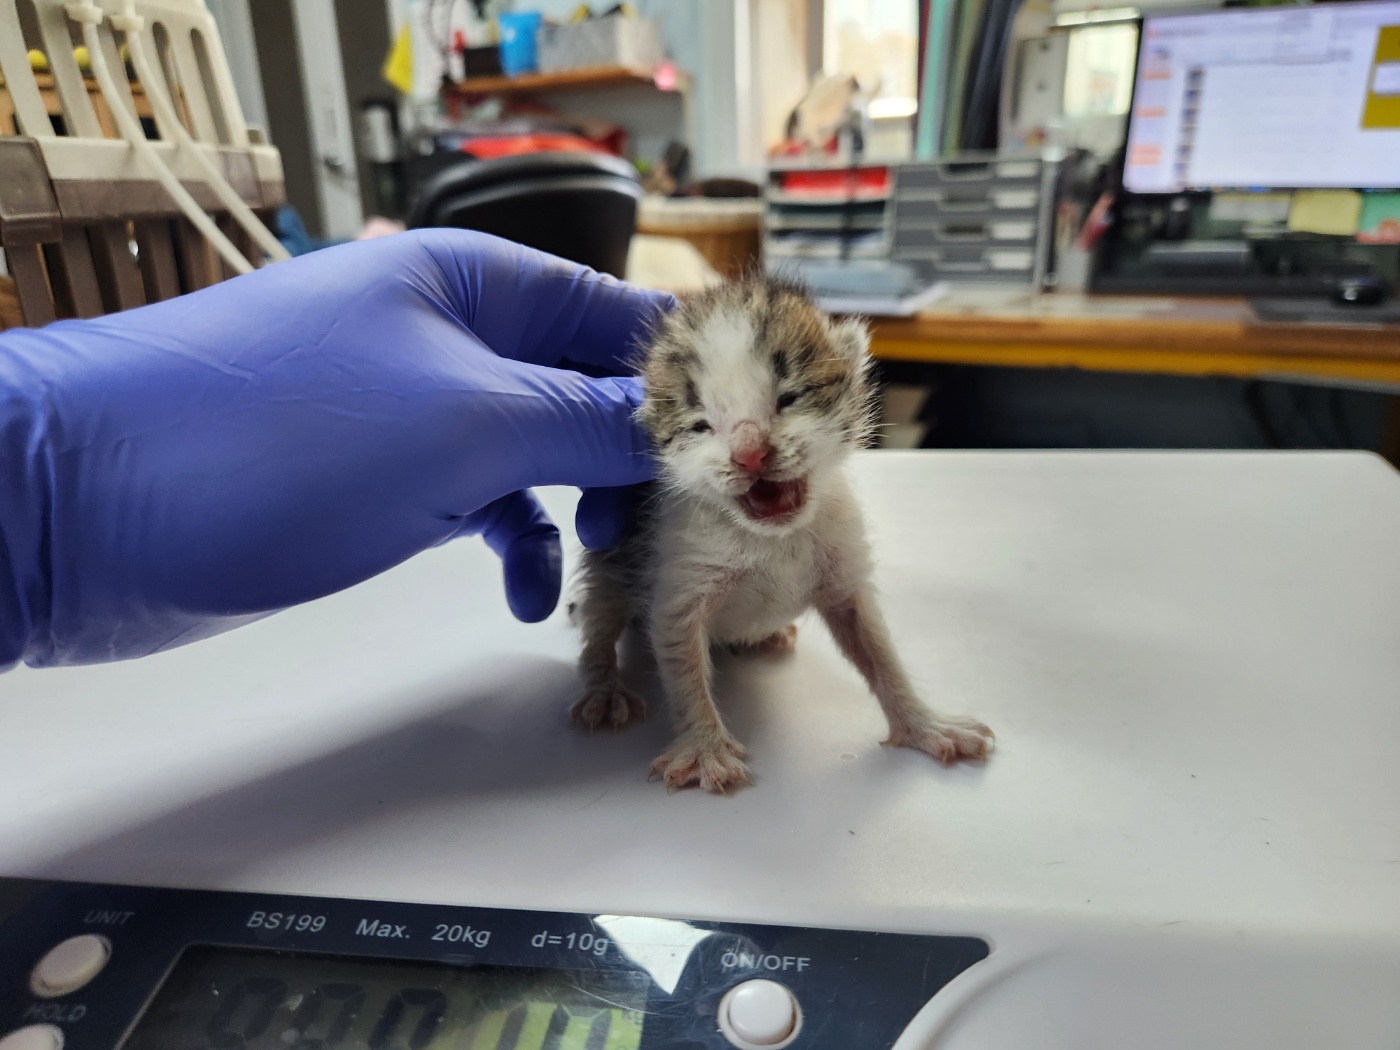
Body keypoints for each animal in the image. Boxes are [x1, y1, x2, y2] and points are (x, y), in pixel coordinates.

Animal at [571, 275, 996, 795]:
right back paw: (604, 687)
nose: (750, 452)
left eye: (789, 398)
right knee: (600, 616)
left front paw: (924, 724)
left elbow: (880, 651)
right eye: (701, 426)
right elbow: (681, 660)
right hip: (610, 559)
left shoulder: (844, 566)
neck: (771, 538)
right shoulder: (679, 575)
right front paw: (704, 748)